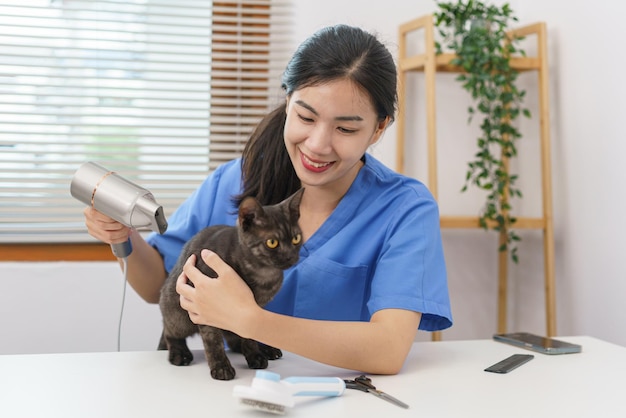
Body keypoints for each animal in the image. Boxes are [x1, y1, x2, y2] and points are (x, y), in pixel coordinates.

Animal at [157, 188, 302, 380]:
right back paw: (179, 353)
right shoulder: (204, 305)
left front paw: (255, 355)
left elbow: (249, 334)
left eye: (296, 239)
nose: (290, 256)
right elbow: (213, 341)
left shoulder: (251, 309)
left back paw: (265, 349)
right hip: (178, 313)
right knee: (169, 331)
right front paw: (221, 367)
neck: (262, 274)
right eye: (272, 242)